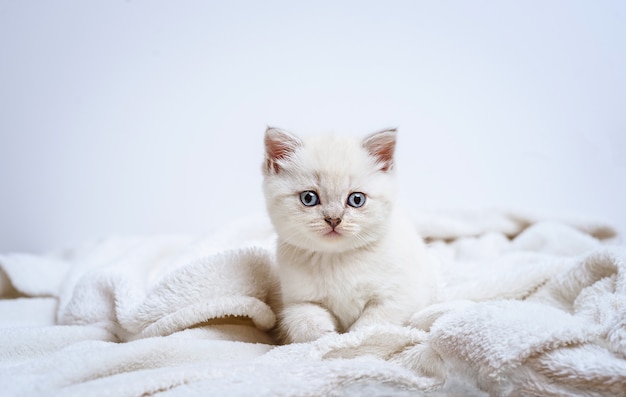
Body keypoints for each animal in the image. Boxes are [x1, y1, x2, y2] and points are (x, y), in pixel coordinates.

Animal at [260, 127, 434, 344]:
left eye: (356, 199)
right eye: (308, 198)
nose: (334, 219)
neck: (337, 259)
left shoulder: (398, 297)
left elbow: (372, 324)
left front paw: (355, 338)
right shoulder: (295, 301)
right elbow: (303, 319)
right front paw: (326, 335)